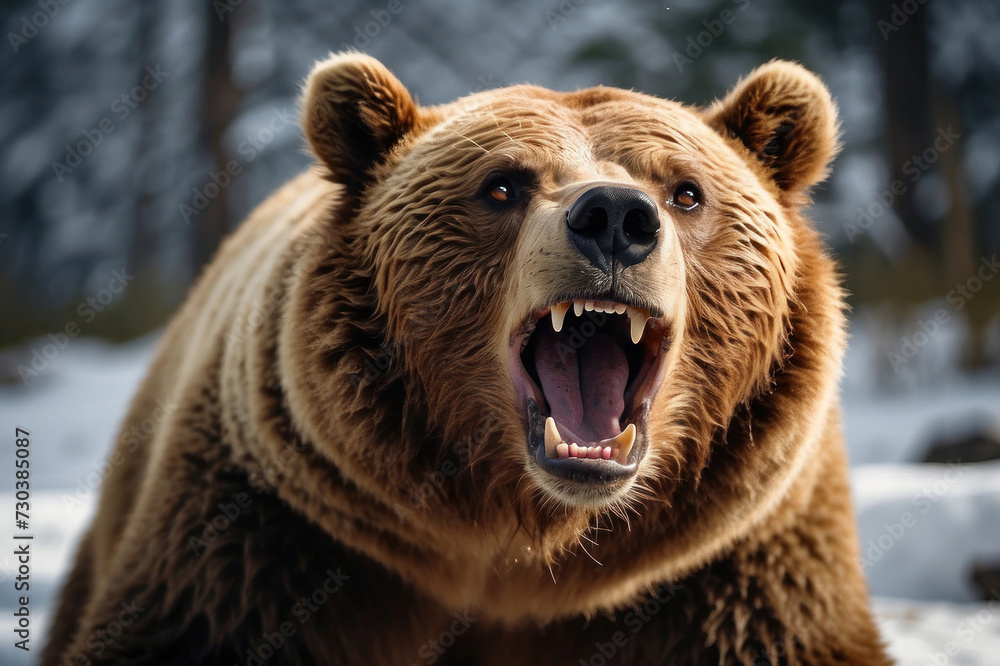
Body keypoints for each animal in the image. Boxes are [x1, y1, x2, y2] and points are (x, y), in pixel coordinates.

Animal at [42, 53, 891, 665]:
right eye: (503, 185)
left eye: (686, 191)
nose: (616, 217)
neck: (524, 548)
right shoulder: (277, 536)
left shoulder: (731, 568)